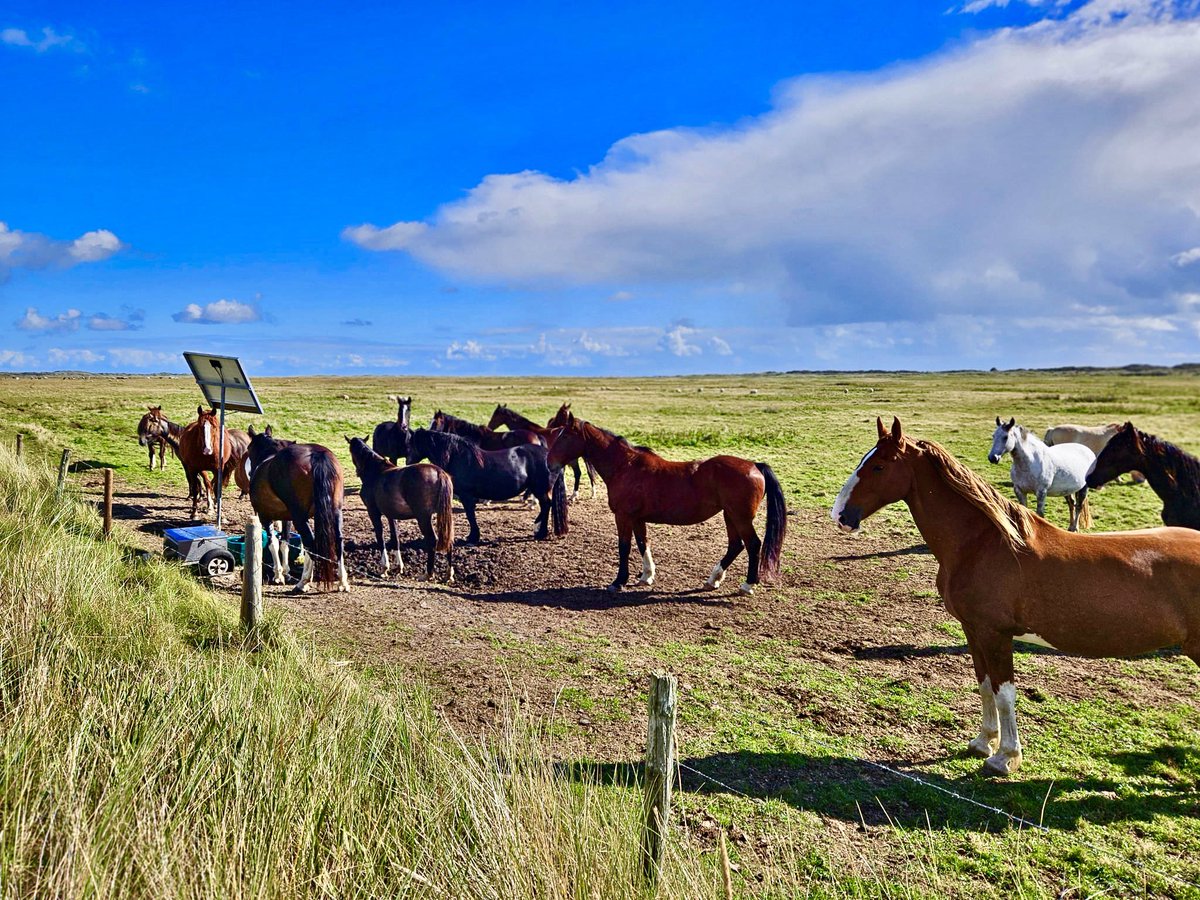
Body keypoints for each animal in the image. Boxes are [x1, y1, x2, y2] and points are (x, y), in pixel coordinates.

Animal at [245, 426, 349, 592]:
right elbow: (285, 543)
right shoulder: (286, 518)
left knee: (310, 543)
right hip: (335, 512)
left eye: (249, 448)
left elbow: (273, 543)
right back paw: (342, 582)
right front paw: (286, 572)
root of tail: (317, 454)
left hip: (299, 517)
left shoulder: (264, 516)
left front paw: (278, 575)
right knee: (338, 542)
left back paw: (303, 582)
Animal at [346, 437, 456, 581]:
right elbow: (396, 539)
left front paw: (384, 567)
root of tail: (439, 472)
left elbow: (380, 536)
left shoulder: (373, 512)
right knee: (448, 539)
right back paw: (449, 574)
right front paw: (399, 567)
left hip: (423, 517)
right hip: (443, 515)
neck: (376, 472)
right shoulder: (391, 514)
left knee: (432, 540)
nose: (357, 471)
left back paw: (428, 573)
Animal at [406, 428, 567, 544]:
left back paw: (540, 532)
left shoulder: (466, 496)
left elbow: (470, 515)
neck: (457, 457)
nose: (408, 462)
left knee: (546, 505)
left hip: (541, 489)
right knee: (546, 506)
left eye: (411, 444)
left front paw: (473, 537)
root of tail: (549, 455)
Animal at [546, 412, 786, 595]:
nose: (549, 463)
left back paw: (747, 585)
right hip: (729, 515)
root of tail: (755, 465)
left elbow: (624, 547)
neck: (626, 466)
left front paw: (619, 581)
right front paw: (646, 576)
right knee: (736, 545)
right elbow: (643, 543)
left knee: (753, 544)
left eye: (565, 435)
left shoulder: (623, 516)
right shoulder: (637, 518)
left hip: (740, 517)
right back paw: (713, 580)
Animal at [832, 417, 1200, 775]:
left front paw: (1005, 758)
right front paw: (984, 742)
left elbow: (1004, 693)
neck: (983, 544)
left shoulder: (995, 634)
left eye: (878, 466)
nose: (840, 515)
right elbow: (984, 685)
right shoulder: (973, 630)